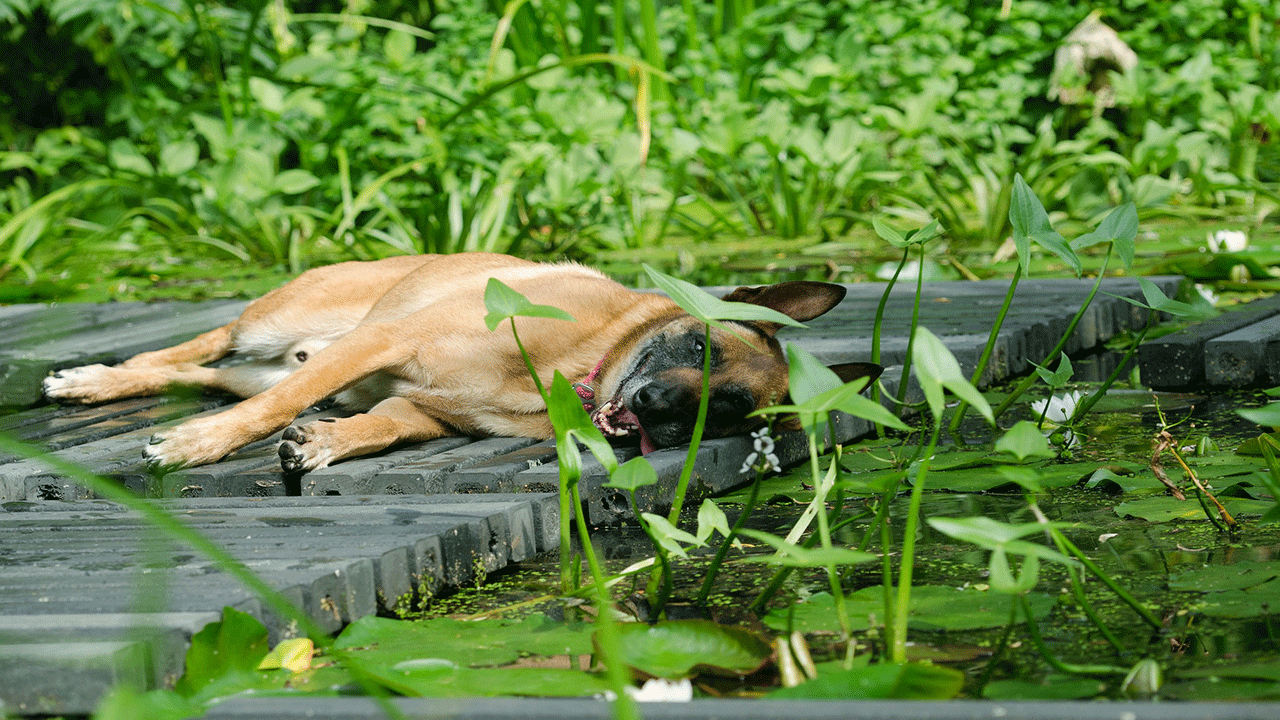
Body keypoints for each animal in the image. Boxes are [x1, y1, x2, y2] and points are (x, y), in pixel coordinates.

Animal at [40, 252, 880, 471]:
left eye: (731, 411)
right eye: (700, 347)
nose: (660, 414)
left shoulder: (419, 408)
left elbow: (380, 426)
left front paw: (324, 444)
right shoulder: (386, 344)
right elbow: (270, 412)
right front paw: (197, 445)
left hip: (272, 359)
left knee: (202, 375)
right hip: (272, 326)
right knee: (198, 348)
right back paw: (94, 380)